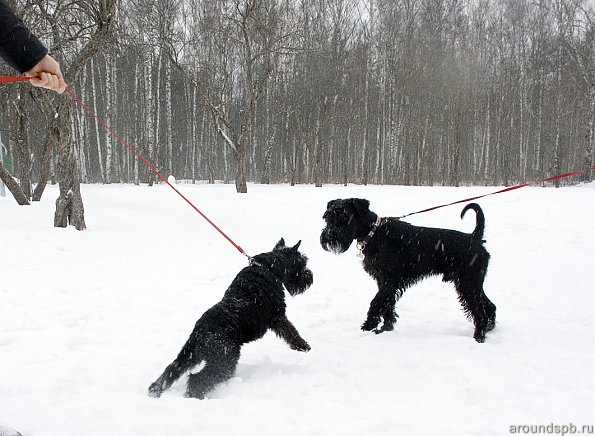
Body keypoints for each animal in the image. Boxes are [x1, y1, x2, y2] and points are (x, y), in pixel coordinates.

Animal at [148, 238, 312, 398]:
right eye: (303, 262)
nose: (310, 277)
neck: (268, 267)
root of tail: (198, 334)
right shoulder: (278, 316)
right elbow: (290, 331)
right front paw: (302, 345)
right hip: (225, 360)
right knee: (198, 379)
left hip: (190, 355)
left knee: (171, 370)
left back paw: (155, 389)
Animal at [322, 199, 498, 342]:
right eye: (327, 217)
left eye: (344, 215)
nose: (328, 236)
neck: (374, 233)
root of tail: (474, 238)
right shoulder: (383, 280)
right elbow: (387, 304)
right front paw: (386, 328)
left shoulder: (390, 279)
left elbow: (377, 301)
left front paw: (369, 325)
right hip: (470, 284)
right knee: (489, 305)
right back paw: (489, 328)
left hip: (468, 284)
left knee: (479, 310)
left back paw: (479, 336)